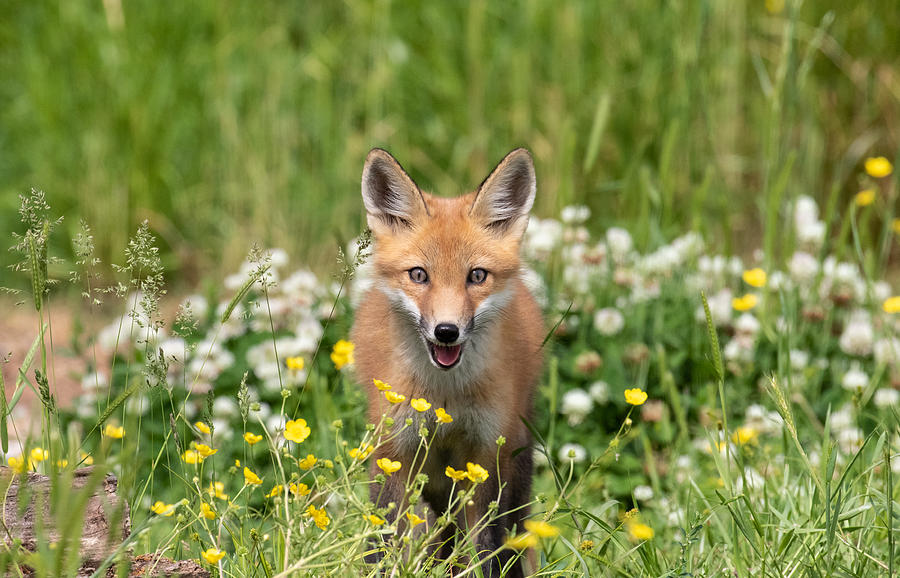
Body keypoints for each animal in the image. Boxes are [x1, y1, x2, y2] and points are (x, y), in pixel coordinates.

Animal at [354, 146, 544, 572]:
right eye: (418, 275)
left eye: (477, 276)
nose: (446, 331)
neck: (445, 396)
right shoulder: (394, 453)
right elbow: (383, 540)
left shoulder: (486, 455)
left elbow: (485, 550)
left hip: (512, 463)